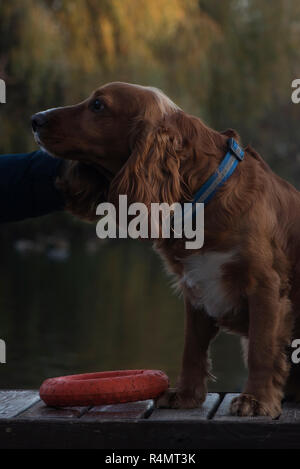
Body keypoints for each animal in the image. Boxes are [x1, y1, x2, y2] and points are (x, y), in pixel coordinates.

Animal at [31, 81, 300, 416]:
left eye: (98, 105)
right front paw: (185, 395)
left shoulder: (265, 285)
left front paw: (256, 399)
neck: (204, 197)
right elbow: (191, 350)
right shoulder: (196, 289)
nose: (35, 119)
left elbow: (261, 350)